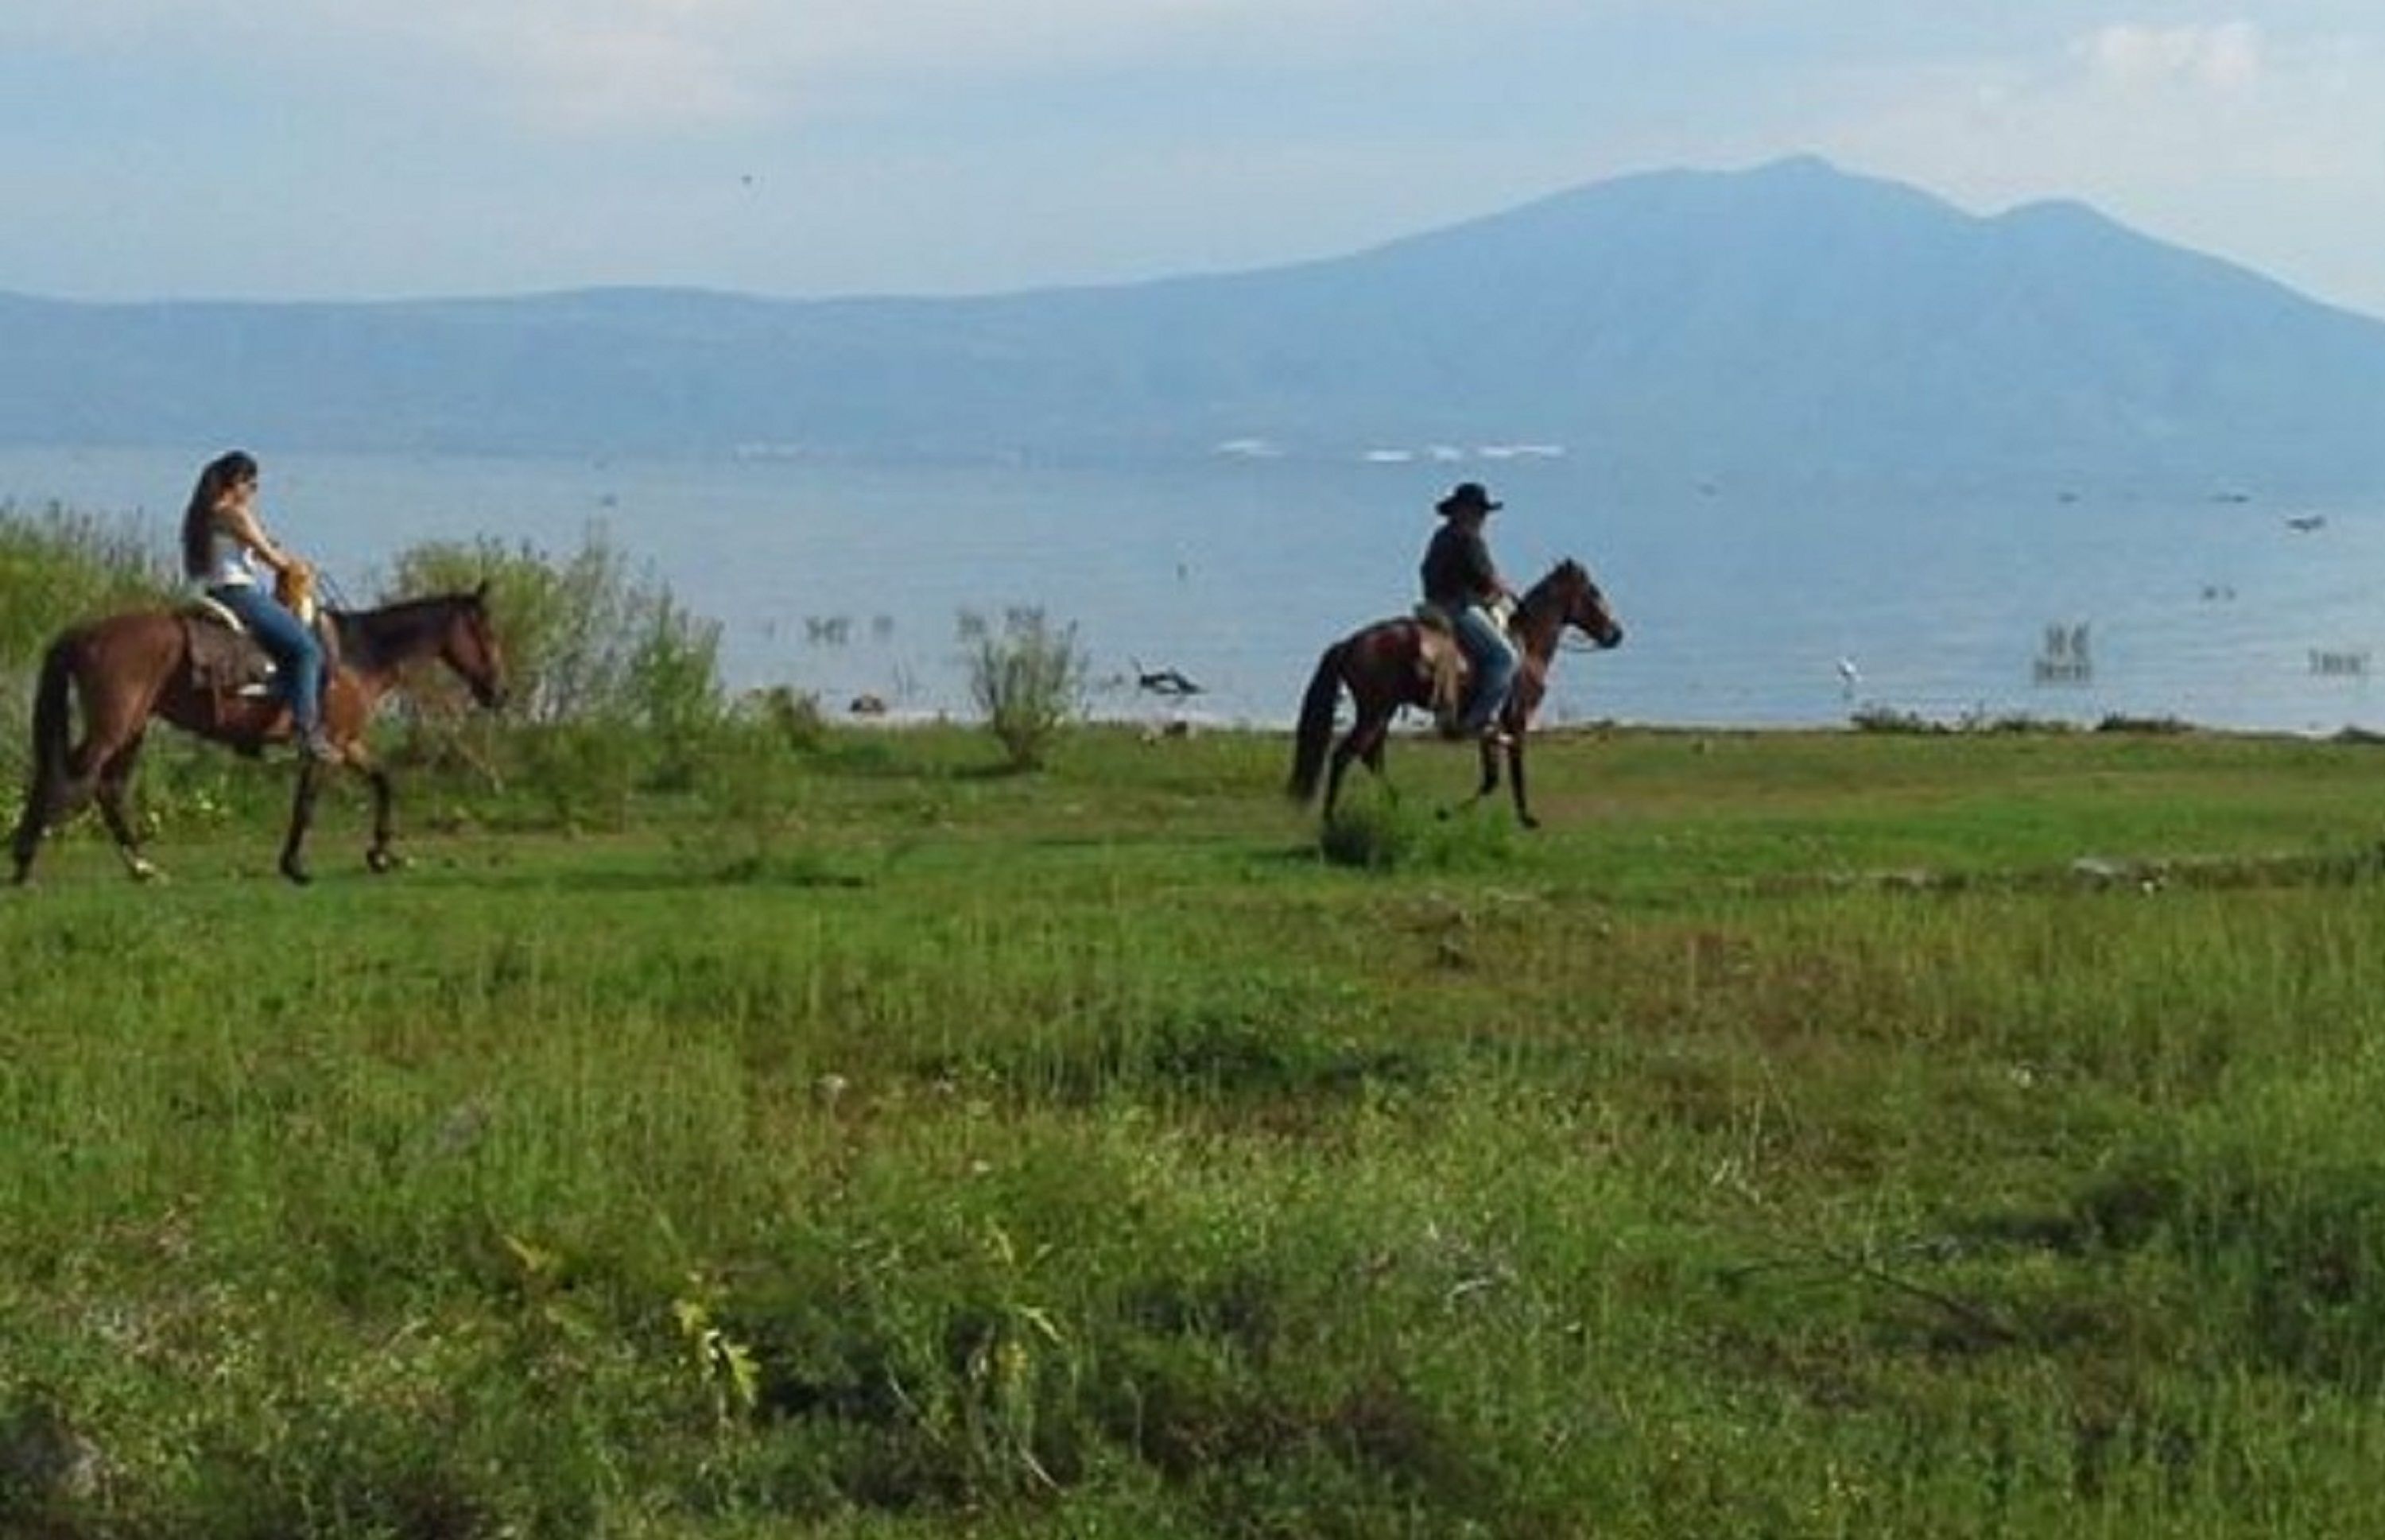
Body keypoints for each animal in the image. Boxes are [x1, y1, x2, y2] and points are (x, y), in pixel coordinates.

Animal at [11, 584, 506, 886]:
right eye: (486, 633)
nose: (500, 692)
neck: (357, 656)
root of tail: (86, 633)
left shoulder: (347, 743)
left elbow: (384, 781)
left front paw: (380, 854)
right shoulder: (326, 744)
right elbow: (307, 805)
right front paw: (296, 866)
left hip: (132, 727)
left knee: (107, 788)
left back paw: (143, 867)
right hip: (112, 727)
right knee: (71, 779)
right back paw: (25, 864)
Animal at [1287, 558, 1622, 828]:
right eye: (1593, 592)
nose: (1616, 633)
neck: (1528, 647)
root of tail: (1351, 642)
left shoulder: (1491, 727)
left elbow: (1491, 779)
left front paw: (1447, 813)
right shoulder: (1516, 719)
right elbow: (1513, 771)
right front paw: (1525, 818)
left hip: (1382, 711)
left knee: (1372, 757)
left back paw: (1396, 804)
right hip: (1375, 711)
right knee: (1345, 756)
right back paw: (1332, 818)